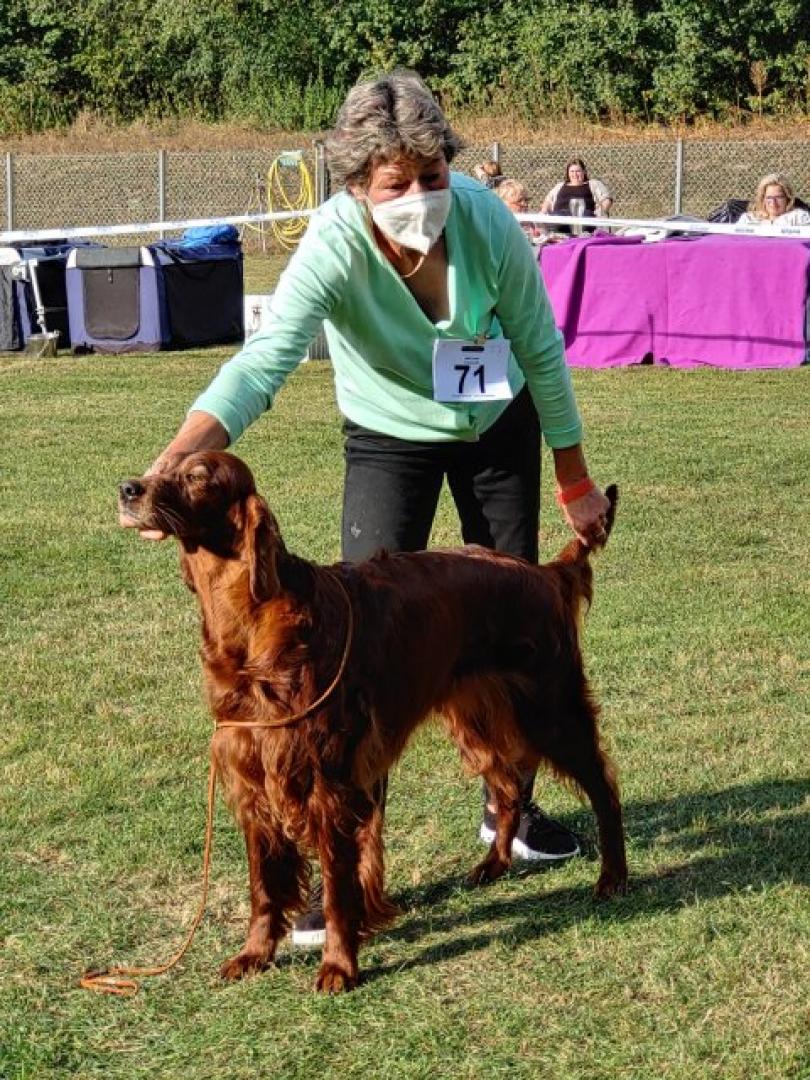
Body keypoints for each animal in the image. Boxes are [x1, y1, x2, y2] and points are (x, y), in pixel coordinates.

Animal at [120, 451, 626, 989]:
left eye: (198, 476)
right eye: (166, 466)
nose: (128, 489)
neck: (249, 623)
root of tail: (546, 574)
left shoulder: (326, 781)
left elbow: (339, 888)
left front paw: (339, 965)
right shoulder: (253, 779)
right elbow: (264, 885)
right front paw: (255, 953)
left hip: (551, 709)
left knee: (603, 787)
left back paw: (613, 876)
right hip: (475, 717)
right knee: (508, 786)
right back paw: (494, 864)